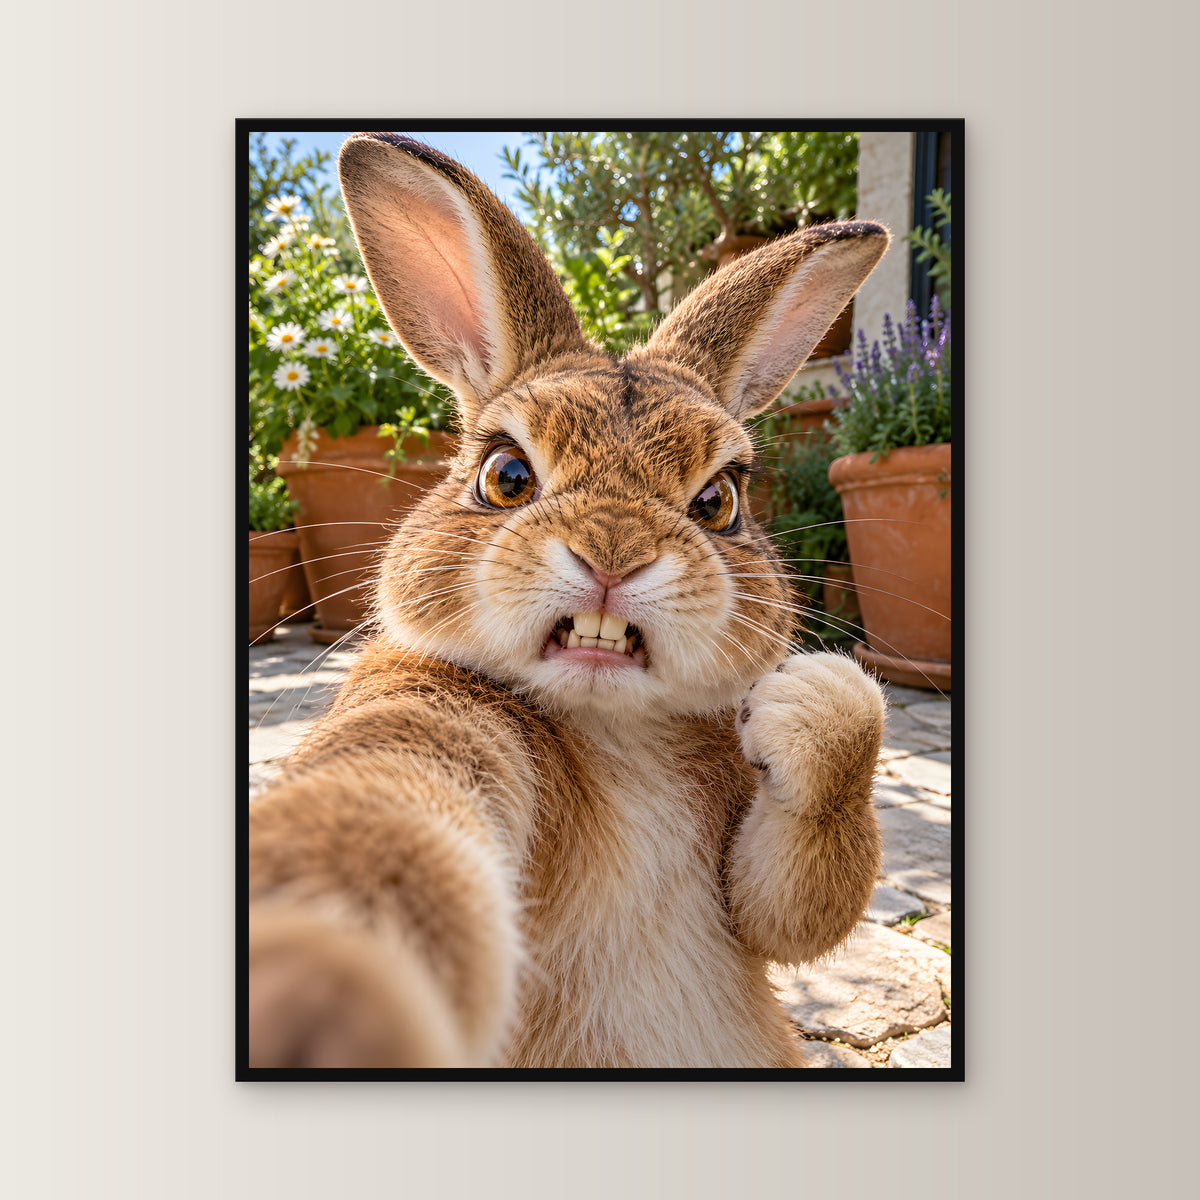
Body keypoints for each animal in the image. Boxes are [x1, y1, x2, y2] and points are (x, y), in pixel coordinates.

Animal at [247, 132, 890, 1070]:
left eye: (720, 501)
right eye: (505, 476)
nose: (614, 554)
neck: (612, 727)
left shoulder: (758, 891)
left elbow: (799, 907)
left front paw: (811, 700)